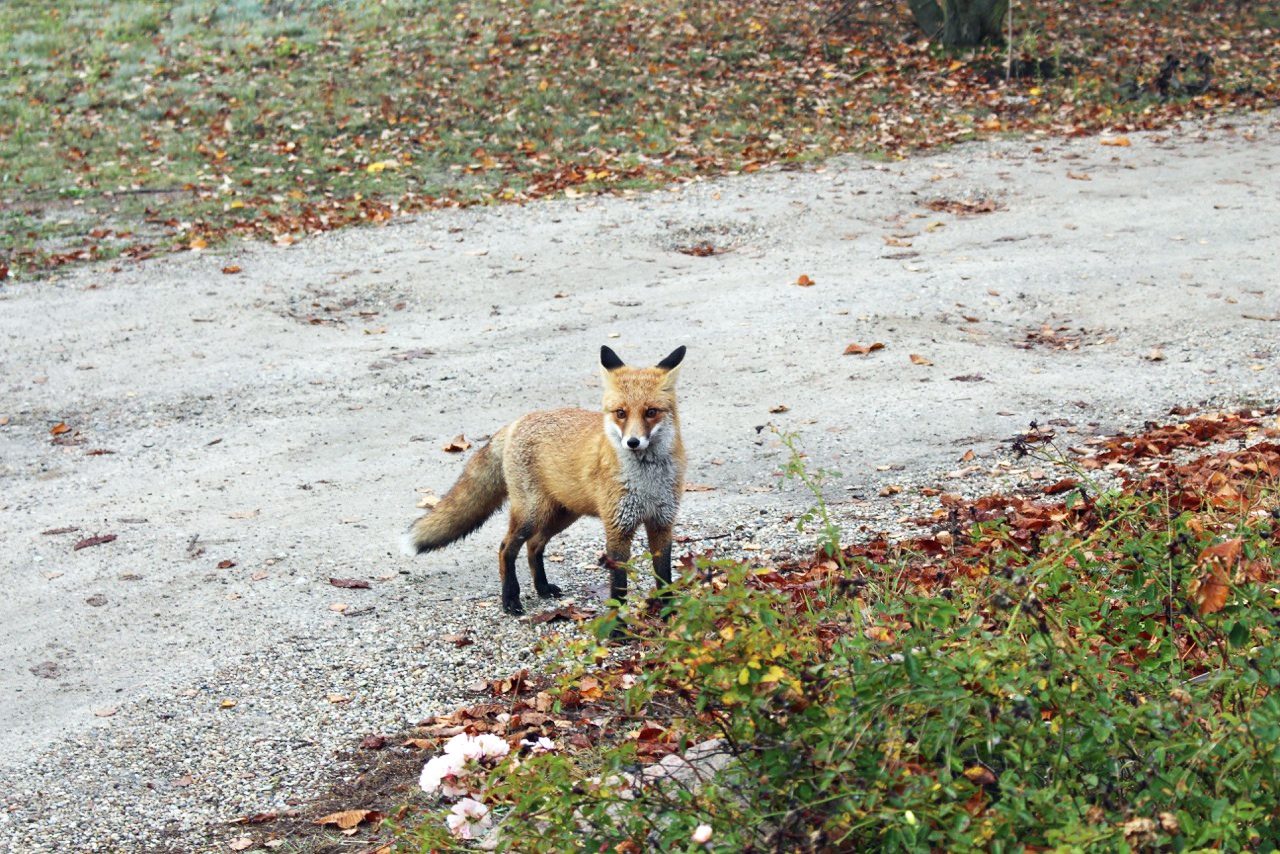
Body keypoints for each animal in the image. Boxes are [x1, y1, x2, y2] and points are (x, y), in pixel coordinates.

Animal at [401, 343, 691, 617]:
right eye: (621, 413)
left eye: (651, 412)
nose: (632, 442)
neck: (647, 482)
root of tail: (516, 422)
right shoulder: (617, 527)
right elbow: (618, 589)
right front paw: (618, 628)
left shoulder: (662, 523)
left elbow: (665, 579)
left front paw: (669, 618)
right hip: (532, 513)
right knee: (506, 548)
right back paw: (510, 600)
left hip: (561, 514)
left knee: (534, 545)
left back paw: (541, 588)